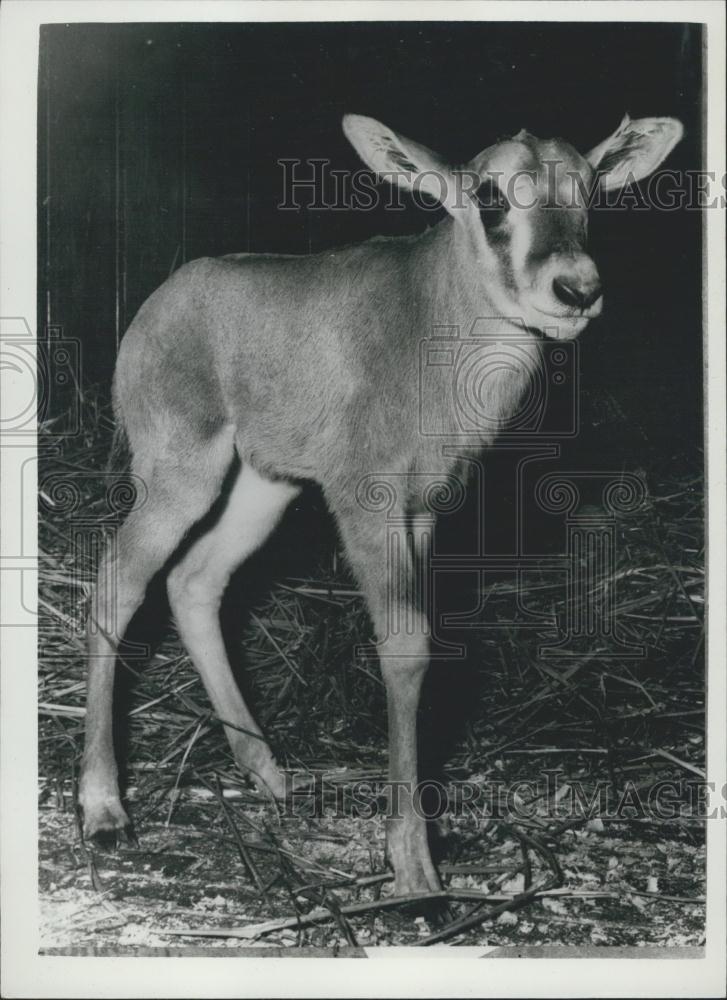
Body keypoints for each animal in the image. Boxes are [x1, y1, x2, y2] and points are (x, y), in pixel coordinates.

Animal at [82, 111, 684, 900]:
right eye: (490, 194)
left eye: (589, 190)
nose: (575, 290)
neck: (433, 324)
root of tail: (158, 306)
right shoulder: (367, 502)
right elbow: (404, 648)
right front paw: (414, 866)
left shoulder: (422, 510)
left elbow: (426, 642)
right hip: (181, 471)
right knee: (118, 579)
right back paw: (103, 807)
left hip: (263, 483)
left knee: (195, 580)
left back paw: (269, 773)